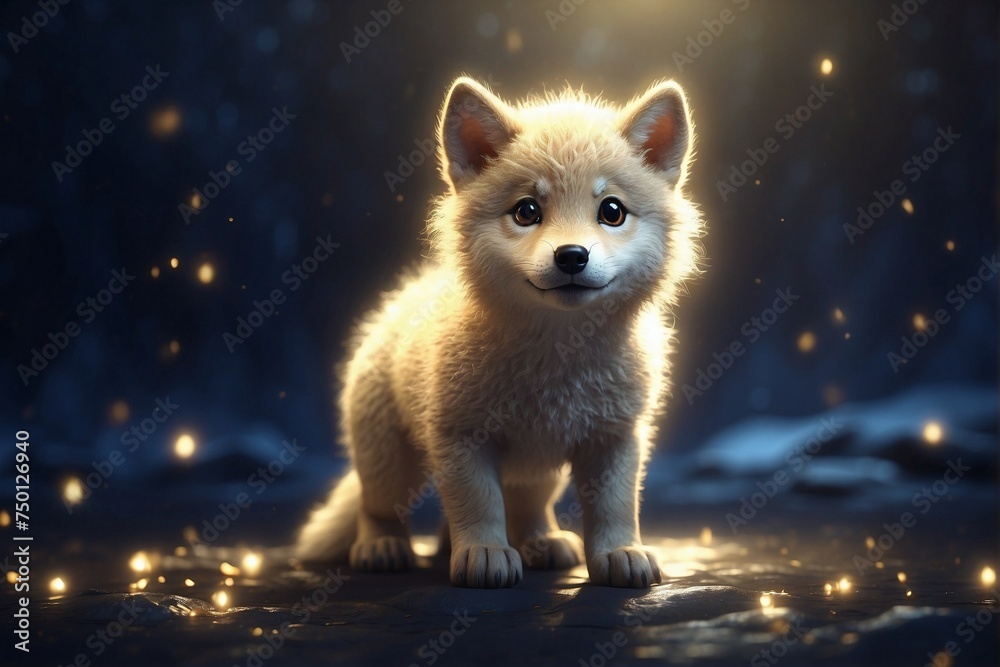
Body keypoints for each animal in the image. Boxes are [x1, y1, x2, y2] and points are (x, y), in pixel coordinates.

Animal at [296, 75, 703, 588]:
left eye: (612, 211)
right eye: (526, 211)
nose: (572, 256)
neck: (557, 353)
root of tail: (396, 306)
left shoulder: (615, 438)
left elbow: (615, 505)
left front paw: (620, 553)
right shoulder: (461, 438)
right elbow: (478, 503)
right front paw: (484, 553)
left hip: (538, 471)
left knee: (527, 506)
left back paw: (540, 543)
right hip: (389, 462)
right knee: (378, 506)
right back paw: (383, 548)